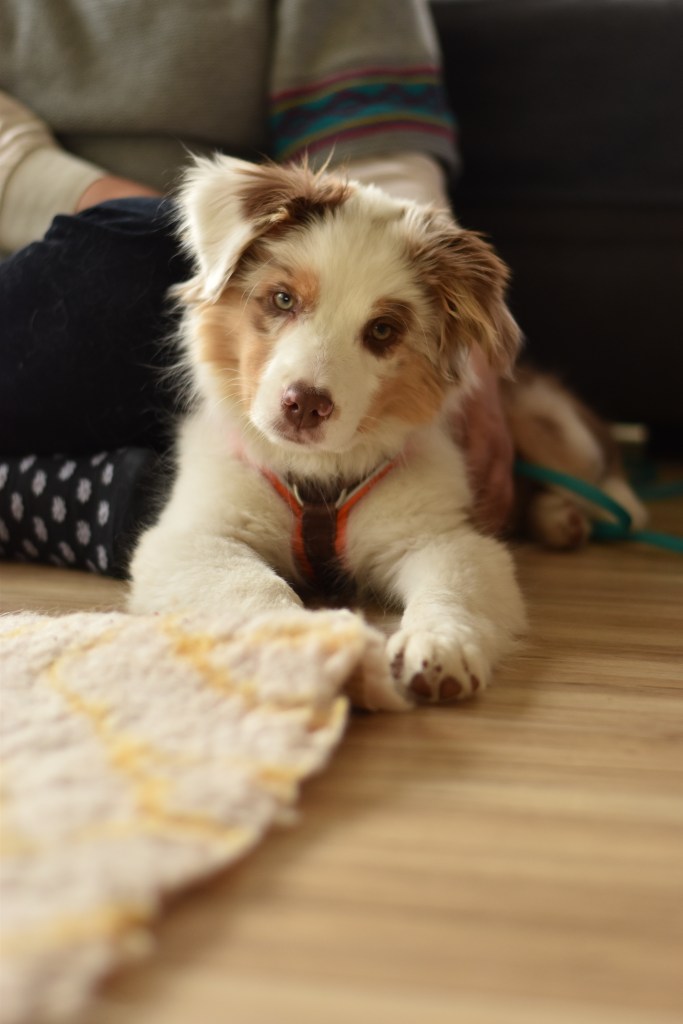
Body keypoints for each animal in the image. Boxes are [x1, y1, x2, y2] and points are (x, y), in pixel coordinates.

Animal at [128, 156, 645, 709]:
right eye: (283, 299)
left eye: (381, 331)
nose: (304, 405)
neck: (320, 476)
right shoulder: (195, 535)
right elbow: (253, 587)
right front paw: (313, 647)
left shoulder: (441, 535)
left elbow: (454, 586)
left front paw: (441, 647)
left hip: (546, 422)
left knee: (610, 492)